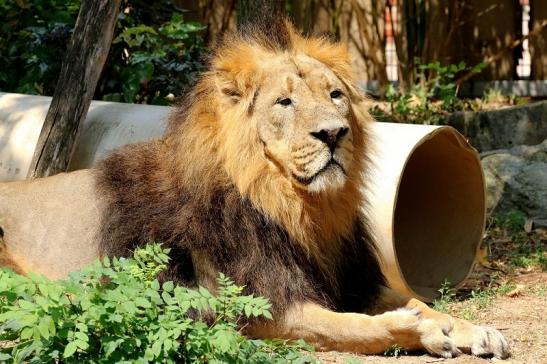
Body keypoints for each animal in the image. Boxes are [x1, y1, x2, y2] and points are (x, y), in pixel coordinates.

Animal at [0, 19, 510, 358]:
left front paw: (472, 329)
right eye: (284, 102)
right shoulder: (259, 306)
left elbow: (418, 300)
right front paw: (421, 333)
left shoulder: (350, 278)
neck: (297, 209)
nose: (333, 133)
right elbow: (355, 327)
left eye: (335, 95)